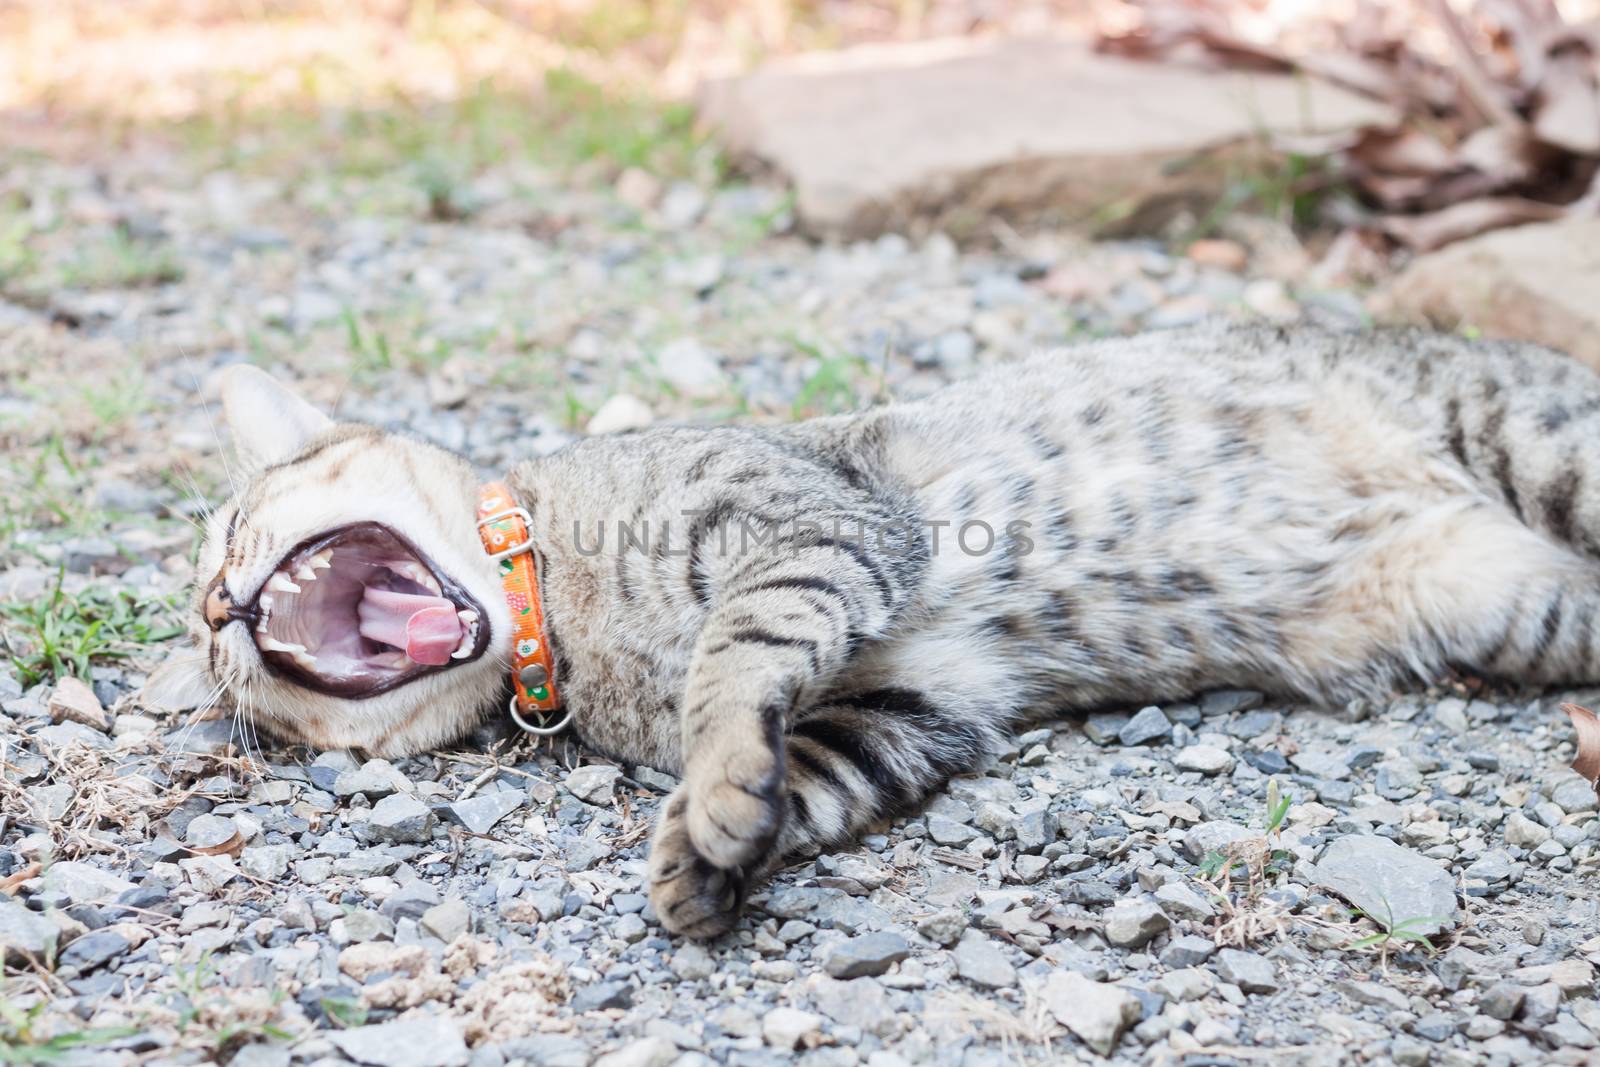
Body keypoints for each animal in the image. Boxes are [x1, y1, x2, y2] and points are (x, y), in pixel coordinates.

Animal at [150, 323, 1600, 934]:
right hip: (1512, 598)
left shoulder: (811, 523)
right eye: (216, 646)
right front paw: (705, 854)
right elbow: (803, 767)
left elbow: (734, 664)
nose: (219, 607)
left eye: (231, 534)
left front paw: (706, 788)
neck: (559, 616)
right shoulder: (924, 695)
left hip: (1541, 444)